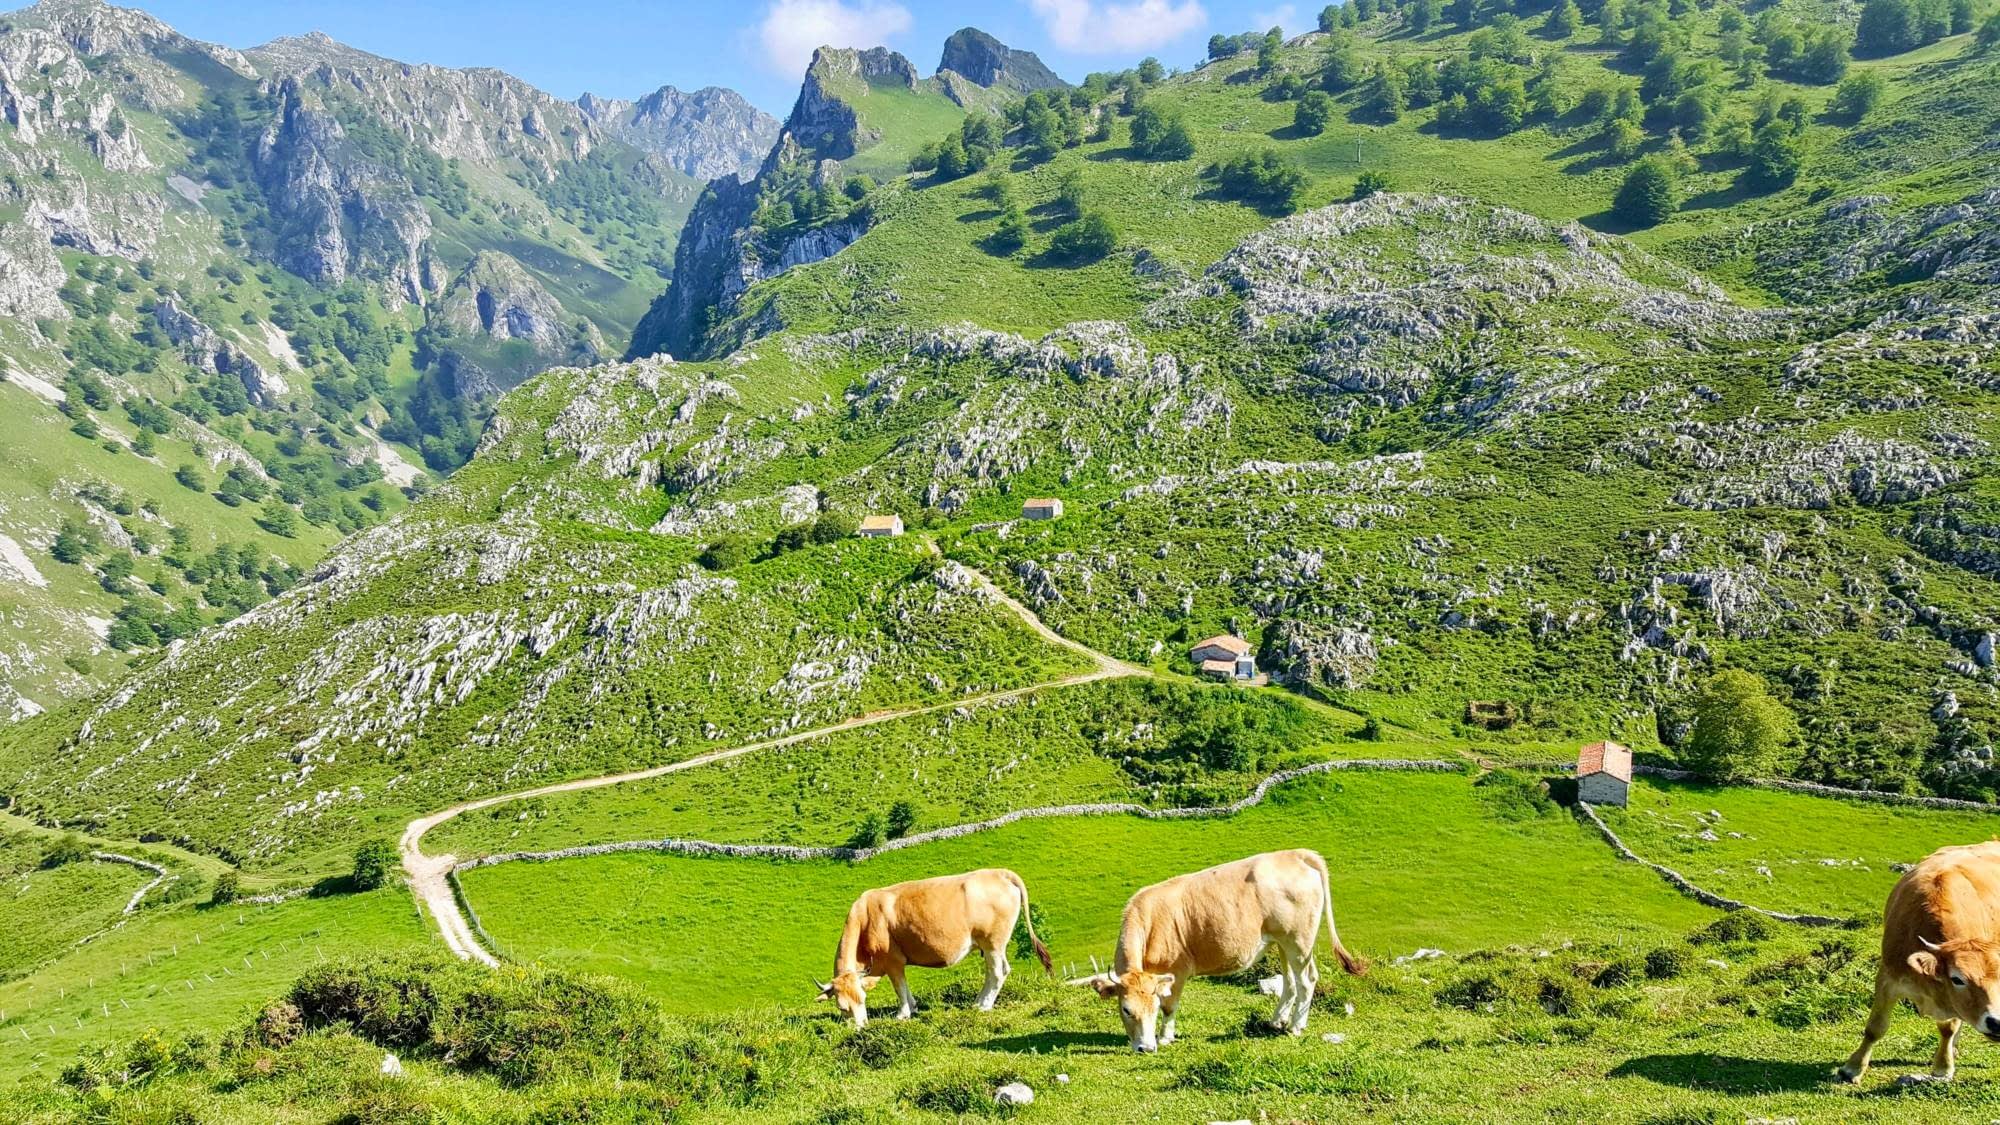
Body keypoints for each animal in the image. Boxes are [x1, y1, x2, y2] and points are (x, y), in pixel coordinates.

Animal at [808, 868, 1048, 1024]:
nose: (861, 1028)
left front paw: (903, 1014)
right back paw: (978, 1001)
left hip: (993, 943)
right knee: (992, 973)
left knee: (998, 972)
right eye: (842, 1007)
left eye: (863, 1000)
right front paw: (913, 1006)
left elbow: (899, 987)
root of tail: (1000, 873)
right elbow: (904, 987)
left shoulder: (893, 960)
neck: (866, 918)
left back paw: (984, 1005)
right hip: (989, 946)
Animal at [1072, 844, 1368, 1048]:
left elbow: (1171, 1006)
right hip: (1282, 942)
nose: (1145, 1048)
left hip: (1298, 941)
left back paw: (1296, 1026)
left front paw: (1165, 1037)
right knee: (1291, 982)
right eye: (1126, 1009)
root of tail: (1295, 854)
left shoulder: (1177, 971)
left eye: (1152, 1008)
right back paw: (1277, 1021)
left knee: (1306, 980)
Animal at [1832, 836, 2000, 1080]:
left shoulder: (1950, 1001)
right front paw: (1852, 1068)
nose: (1996, 1023)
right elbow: (1875, 1027)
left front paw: (1942, 1067)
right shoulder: (1887, 978)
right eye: (1957, 979)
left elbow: (1948, 1028)